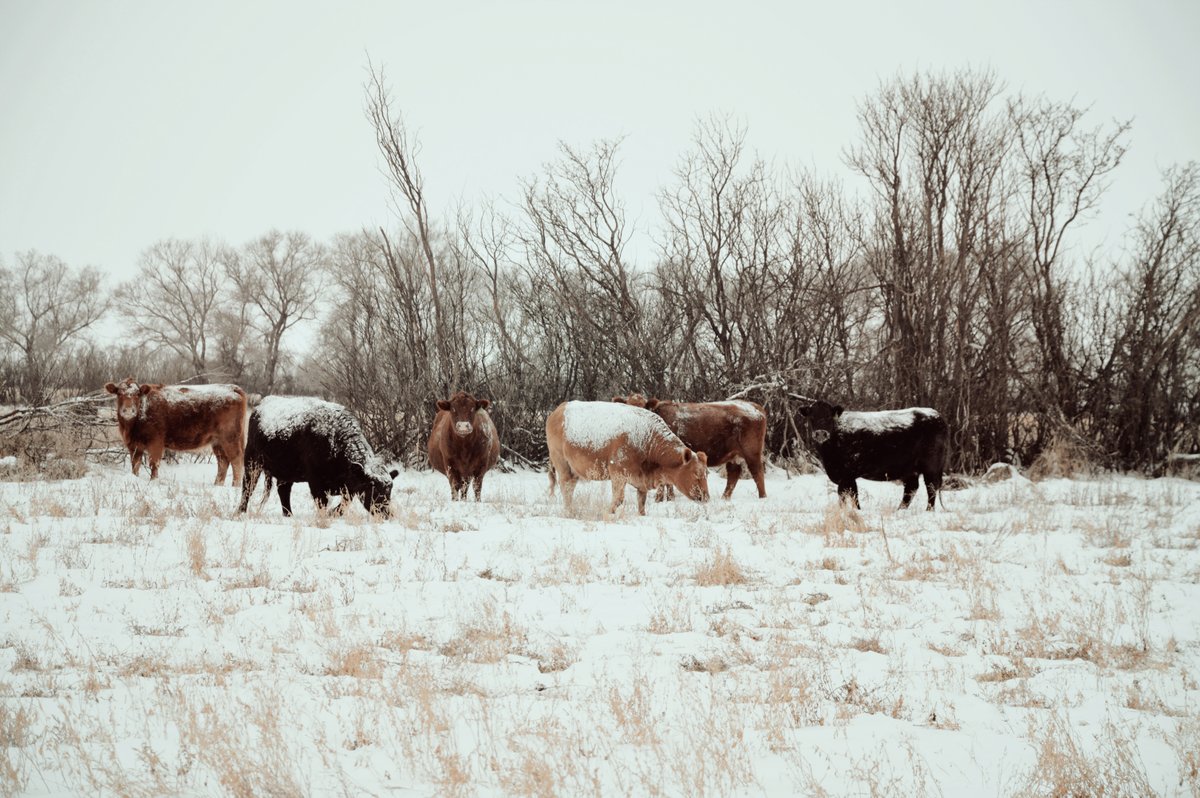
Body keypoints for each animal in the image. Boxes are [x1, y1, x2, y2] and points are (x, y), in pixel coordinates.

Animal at [104, 377, 247, 484]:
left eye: (137, 394)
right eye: (119, 394)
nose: (128, 411)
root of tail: (232, 388)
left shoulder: (155, 442)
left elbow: (154, 464)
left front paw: (153, 481)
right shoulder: (134, 445)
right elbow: (135, 464)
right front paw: (135, 478)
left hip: (230, 438)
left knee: (236, 460)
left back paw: (235, 486)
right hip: (217, 442)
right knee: (223, 462)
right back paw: (217, 485)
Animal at [237, 396, 398, 517]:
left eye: (389, 489)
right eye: (373, 488)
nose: (386, 514)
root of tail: (260, 406)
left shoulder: (350, 486)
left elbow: (344, 504)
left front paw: (333, 514)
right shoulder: (316, 482)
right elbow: (322, 503)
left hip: (285, 472)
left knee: (283, 491)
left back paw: (288, 514)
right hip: (252, 464)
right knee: (247, 488)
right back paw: (241, 511)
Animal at [546, 400, 710, 515]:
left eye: (706, 473)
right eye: (696, 473)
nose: (706, 497)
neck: (647, 439)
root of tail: (559, 410)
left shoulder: (641, 482)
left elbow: (641, 504)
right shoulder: (618, 474)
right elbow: (618, 500)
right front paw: (607, 514)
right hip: (562, 464)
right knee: (566, 488)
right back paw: (569, 512)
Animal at [613, 395, 768, 500]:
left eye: (642, 406)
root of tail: (754, 406)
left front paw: (662, 499)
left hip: (752, 452)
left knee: (757, 473)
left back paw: (762, 497)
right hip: (734, 456)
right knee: (733, 475)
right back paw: (724, 498)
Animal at [799, 400, 948, 510]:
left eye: (829, 416)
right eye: (811, 417)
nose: (820, 434)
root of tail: (936, 414)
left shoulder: (847, 475)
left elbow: (847, 496)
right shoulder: (845, 476)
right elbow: (853, 496)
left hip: (931, 467)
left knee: (931, 488)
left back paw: (928, 511)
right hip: (910, 469)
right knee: (911, 489)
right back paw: (899, 510)